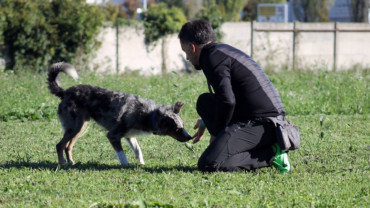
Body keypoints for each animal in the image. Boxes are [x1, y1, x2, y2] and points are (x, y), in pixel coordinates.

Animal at [47, 62, 192, 167]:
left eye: (183, 126)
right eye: (177, 129)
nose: (190, 137)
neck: (148, 114)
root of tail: (64, 92)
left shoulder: (130, 136)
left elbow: (138, 150)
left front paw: (141, 164)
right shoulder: (113, 135)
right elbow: (121, 153)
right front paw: (126, 165)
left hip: (80, 128)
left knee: (68, 146)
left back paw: (71, 162)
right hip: (74, 128)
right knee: (59, 145)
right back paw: (63, 163)